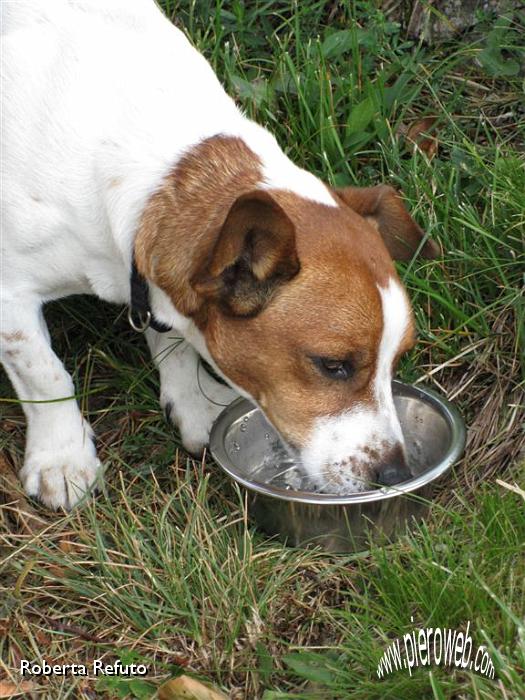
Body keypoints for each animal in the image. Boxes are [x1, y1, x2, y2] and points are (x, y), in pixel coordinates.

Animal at [1, 2, 438, 512]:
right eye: (333, 366)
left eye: (398, 359)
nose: (395, 474)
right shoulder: (10, 298)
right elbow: (46, 374)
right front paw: (63, 458)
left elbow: (171, 339)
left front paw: (192, 403)